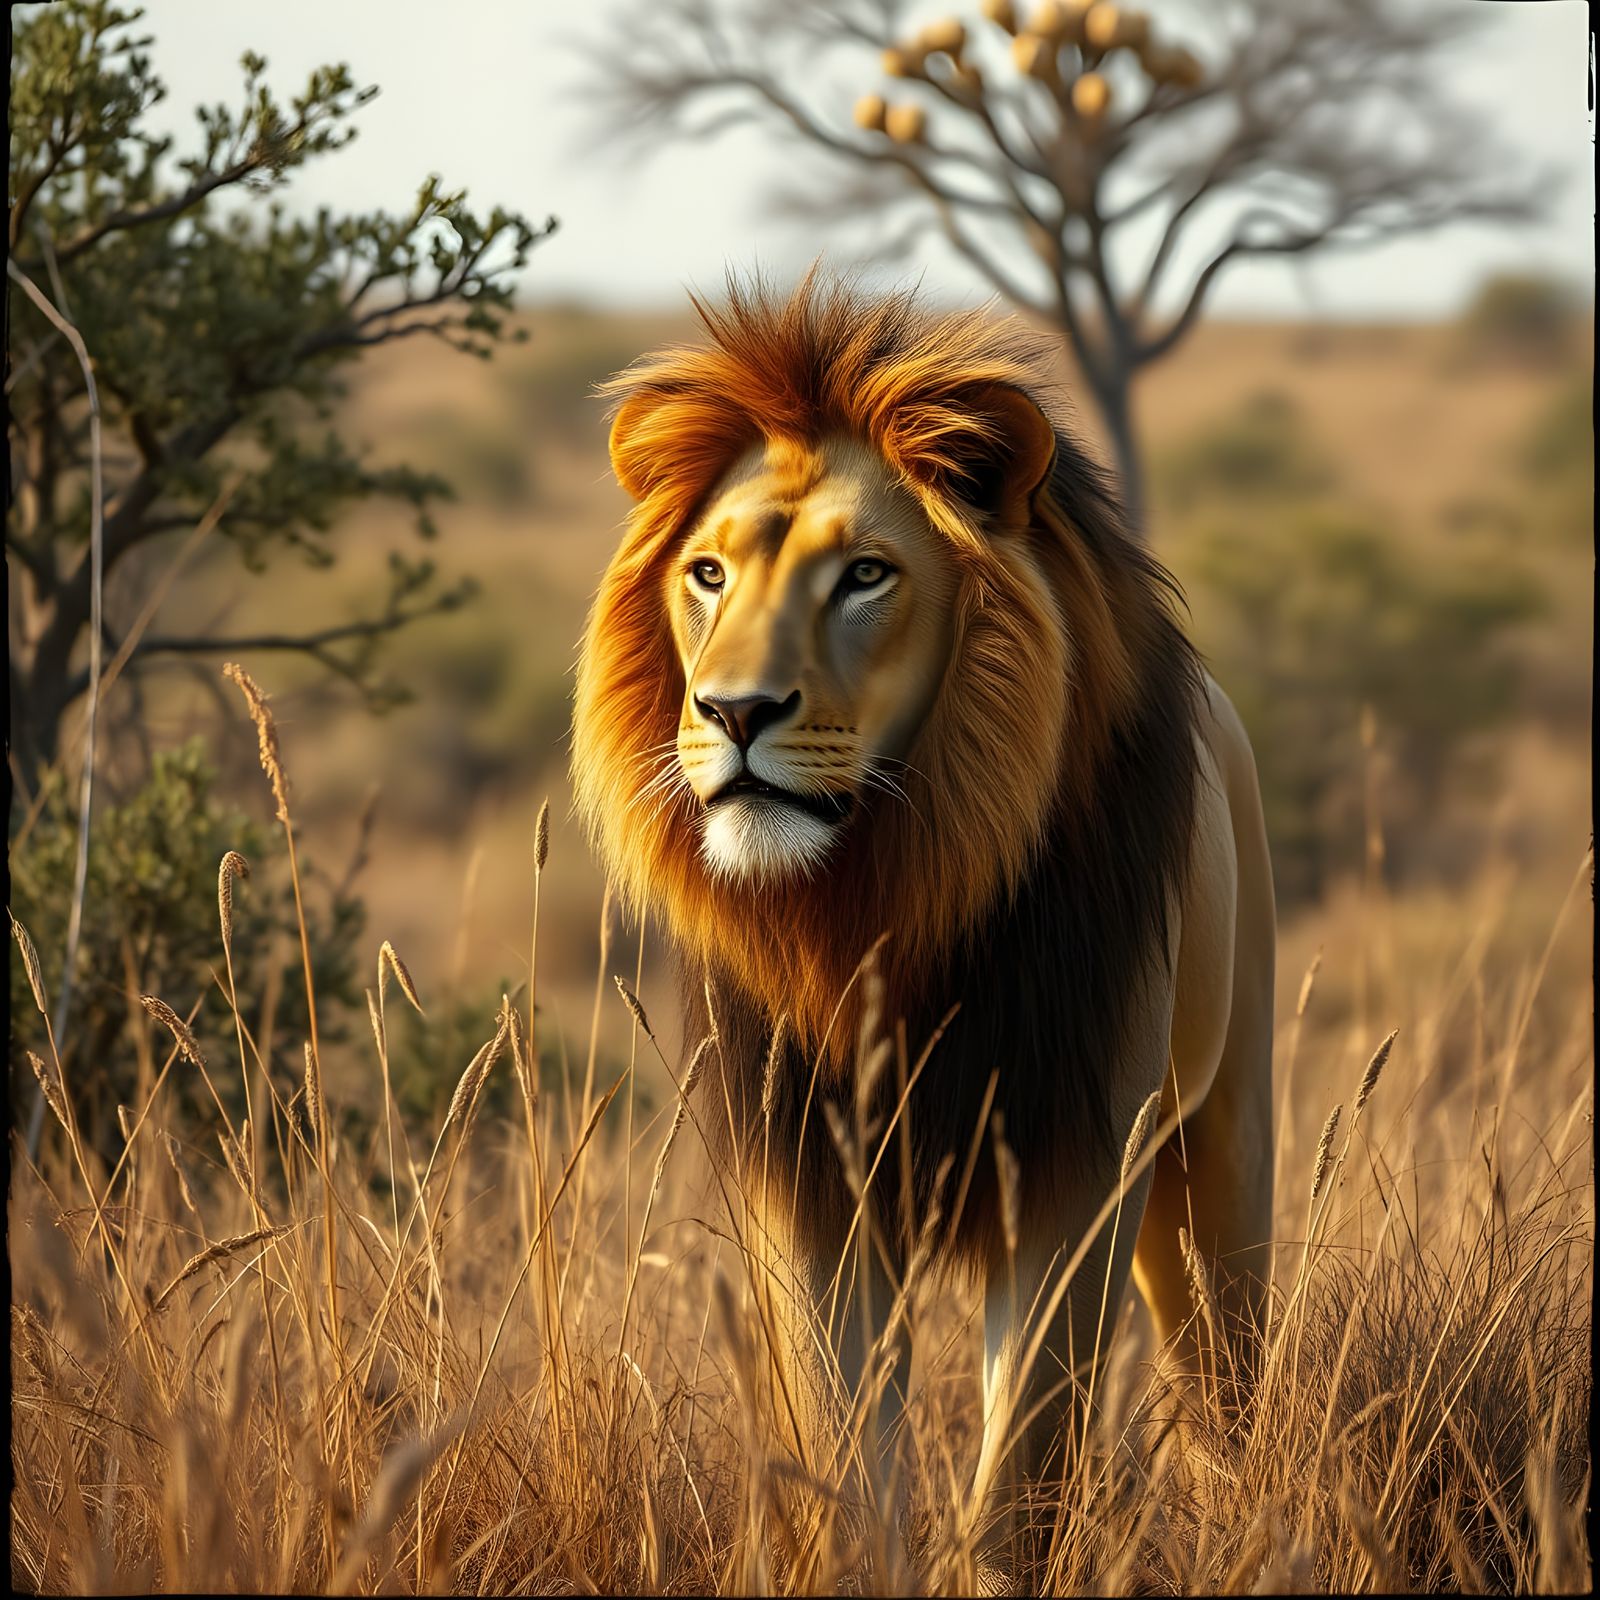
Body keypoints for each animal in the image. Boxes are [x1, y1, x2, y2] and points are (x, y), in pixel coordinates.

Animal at [572, 272, 1276, 1554]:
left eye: (864, 574)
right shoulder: (809, 1186)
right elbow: (843, 1451)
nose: (732, 711)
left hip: (1225, 1130)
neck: (879, 902)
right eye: (707, 574)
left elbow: (1022, 1465)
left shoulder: (1071, 1165)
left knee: (1226, 1354)